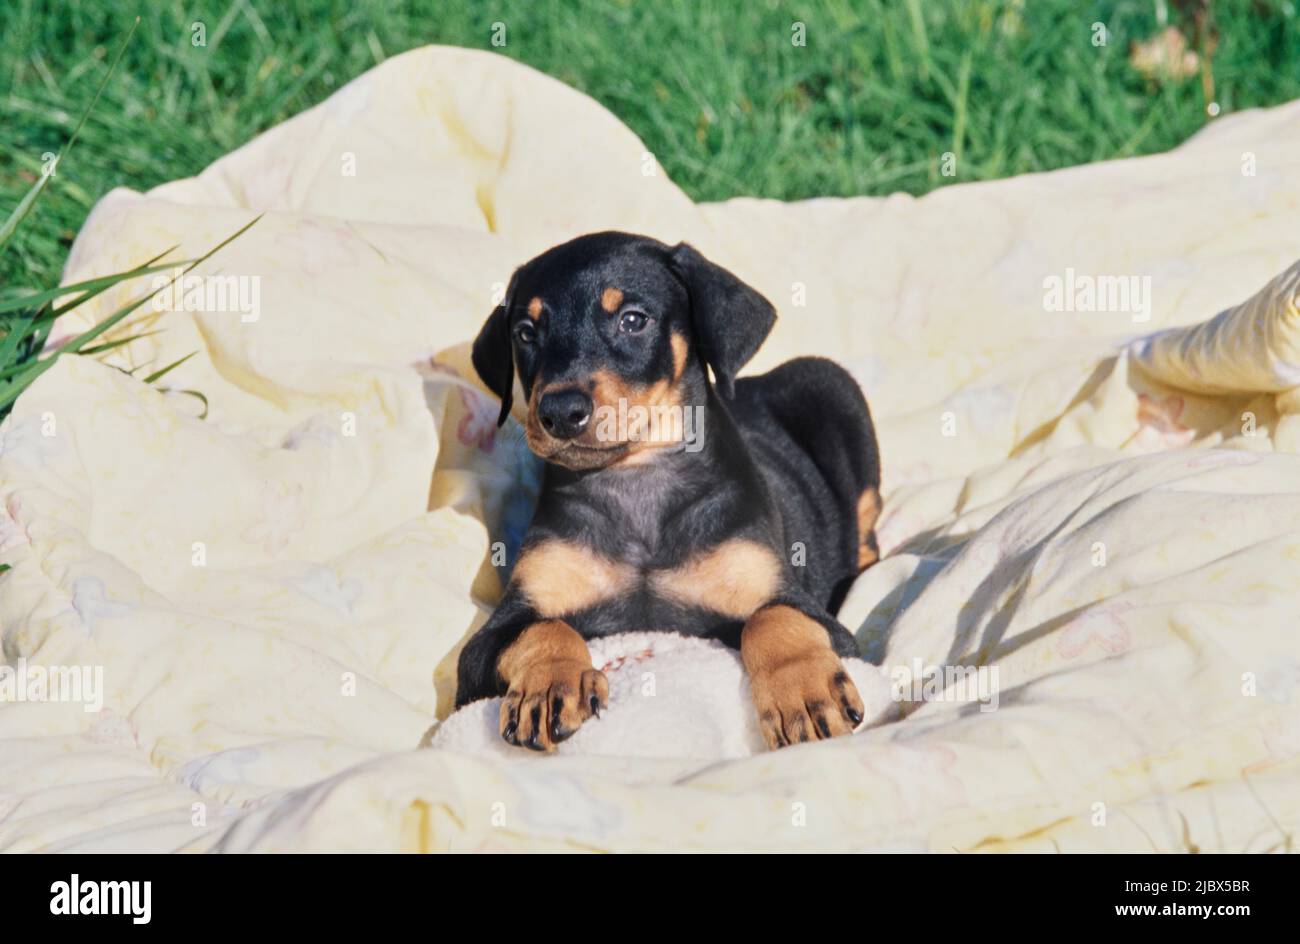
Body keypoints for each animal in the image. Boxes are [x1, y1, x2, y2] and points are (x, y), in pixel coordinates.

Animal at [457, 231, 883, 754]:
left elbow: (775, 617)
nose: (559, 412)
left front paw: (803, 691)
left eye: (633, 320)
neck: (637, 474)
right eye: (525, 333)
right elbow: (541, 625)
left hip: (831, 387)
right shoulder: (484, 645)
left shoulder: (814, 617)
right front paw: (551, 682)